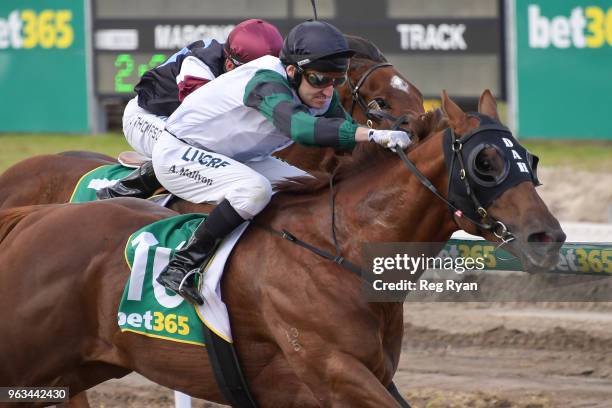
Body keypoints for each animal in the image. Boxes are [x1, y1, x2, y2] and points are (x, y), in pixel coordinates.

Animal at [0, 91, 564, 406]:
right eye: (486, 162)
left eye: (529, 159)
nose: (548, 237)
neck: (338, 248)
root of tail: (31, 217)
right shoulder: (333, 372)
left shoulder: (369, 376)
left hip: (73, 368)